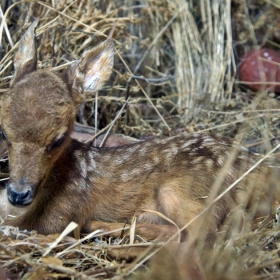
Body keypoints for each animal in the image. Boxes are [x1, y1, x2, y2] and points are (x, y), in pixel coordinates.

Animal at [0, 21, 276, 241]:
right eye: (4, 133)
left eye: (57, 140)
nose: (18, 194)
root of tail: (265, 171)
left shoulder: (65, 213)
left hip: (183, 189)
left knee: (201, 235)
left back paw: (103, 226)